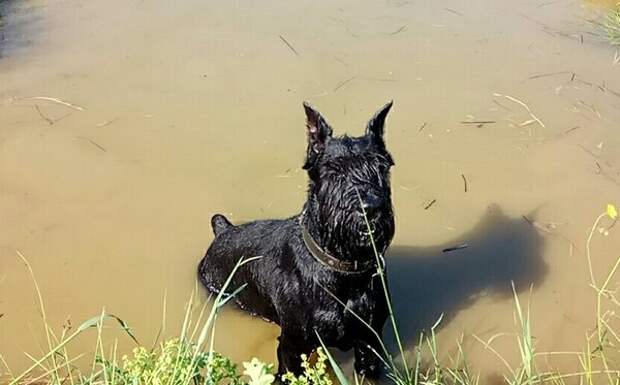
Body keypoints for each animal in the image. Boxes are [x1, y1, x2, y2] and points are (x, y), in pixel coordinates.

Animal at [196, 101, 394, 378]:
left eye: (381, 167)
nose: (370, 208)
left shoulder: (369, 343)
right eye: (333, 172)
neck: (344, 272)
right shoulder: (293, 347)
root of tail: (223, 231)